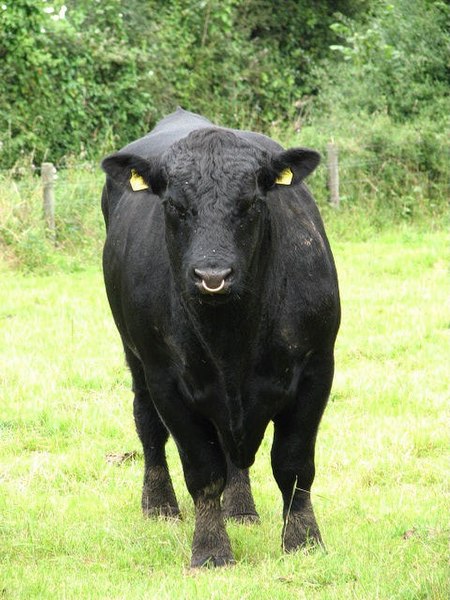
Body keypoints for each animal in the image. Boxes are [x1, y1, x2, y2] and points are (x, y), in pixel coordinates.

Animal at [101, 109, 342, 568]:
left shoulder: (317, 367)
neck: (233, 341)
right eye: (175, 206)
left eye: (250, 203)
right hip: (134, 355)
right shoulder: (168, 381)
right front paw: (211, 550)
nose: (212, 276)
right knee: (148, 426)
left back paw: (242, 509)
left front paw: (304, 541)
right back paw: (159, 505)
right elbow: (203, 472)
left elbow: (294, 464)